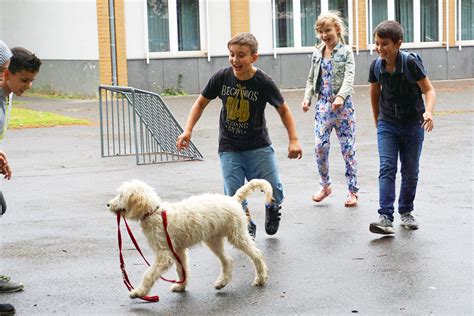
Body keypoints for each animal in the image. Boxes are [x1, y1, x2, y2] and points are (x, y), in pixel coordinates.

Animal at [107, 179, 270, 298]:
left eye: (121, 195)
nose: (108, 204)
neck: (154, 213)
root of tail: (232, 199)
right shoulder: (178, 250)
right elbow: (182, 269)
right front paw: (181, 286)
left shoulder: (164, 254)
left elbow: (149, 274)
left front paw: (139, 292)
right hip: (213, 240)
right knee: (227, 260)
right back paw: (222, 282)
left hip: (237, 235)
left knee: (256, 254)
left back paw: (261, 278)